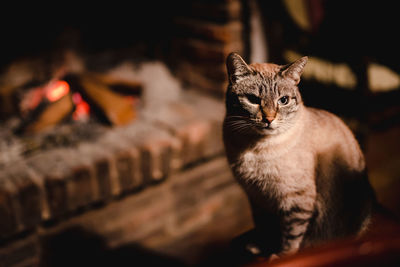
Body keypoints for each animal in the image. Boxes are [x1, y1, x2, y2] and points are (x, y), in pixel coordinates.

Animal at [222, 52, 376, 260]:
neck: (254, 148)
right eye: (253, 99)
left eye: (283, 100)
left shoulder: (295, 200)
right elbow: (264, 226)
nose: (269, 119)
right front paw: (260, 247)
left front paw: (280, 257)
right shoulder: (256, 196)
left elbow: (291, 236)